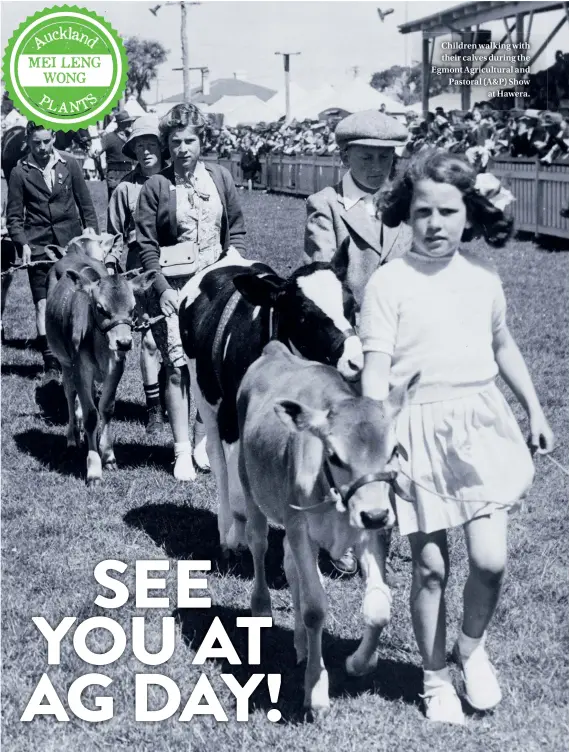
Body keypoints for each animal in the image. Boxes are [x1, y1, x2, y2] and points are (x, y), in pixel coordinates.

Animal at [179, 244, 364, 548]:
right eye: (304, 314)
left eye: (352, 306)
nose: (356, 361)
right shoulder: (230, 421)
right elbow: (240, 493)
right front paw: (238, 539)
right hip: (204, 393)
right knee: (218, 463)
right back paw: (226, 529)